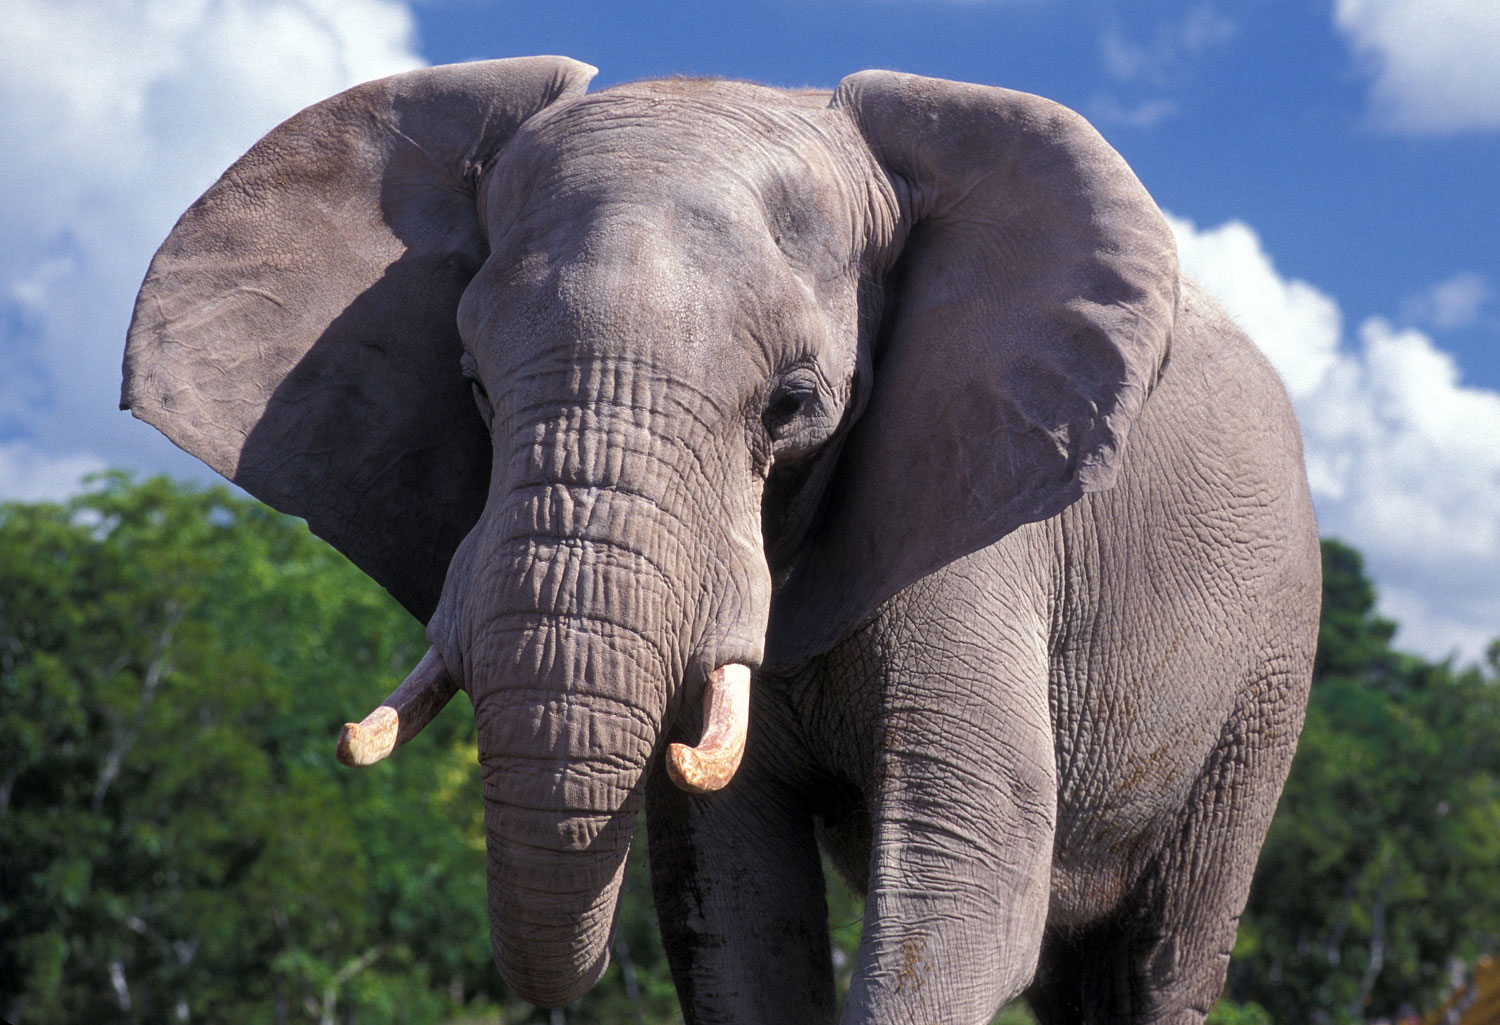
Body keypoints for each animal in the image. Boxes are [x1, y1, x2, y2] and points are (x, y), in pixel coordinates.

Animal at [122, 56, 1320, 1024]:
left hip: (1268, 671)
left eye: (791, 404)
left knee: (1162, 956)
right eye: (472, 387)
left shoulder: (980, 520)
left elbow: (968, 864)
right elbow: (730, 901)